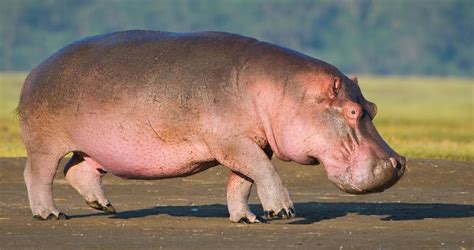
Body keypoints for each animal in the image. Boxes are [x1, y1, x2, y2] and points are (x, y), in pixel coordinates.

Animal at [16, 29, 406, 223]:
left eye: (373, 107)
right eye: (353, 112)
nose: (399, 162)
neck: (285, 90)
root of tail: (36, 68)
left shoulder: (254, 143)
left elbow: (243, 183)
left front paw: (247, 218)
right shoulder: (234, 143)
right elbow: (265, 173)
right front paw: (282, 212)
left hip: (92, 148)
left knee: (79, 170)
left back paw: (105, 206)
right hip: (45, 143)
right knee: (39, 175)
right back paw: (51, 215)